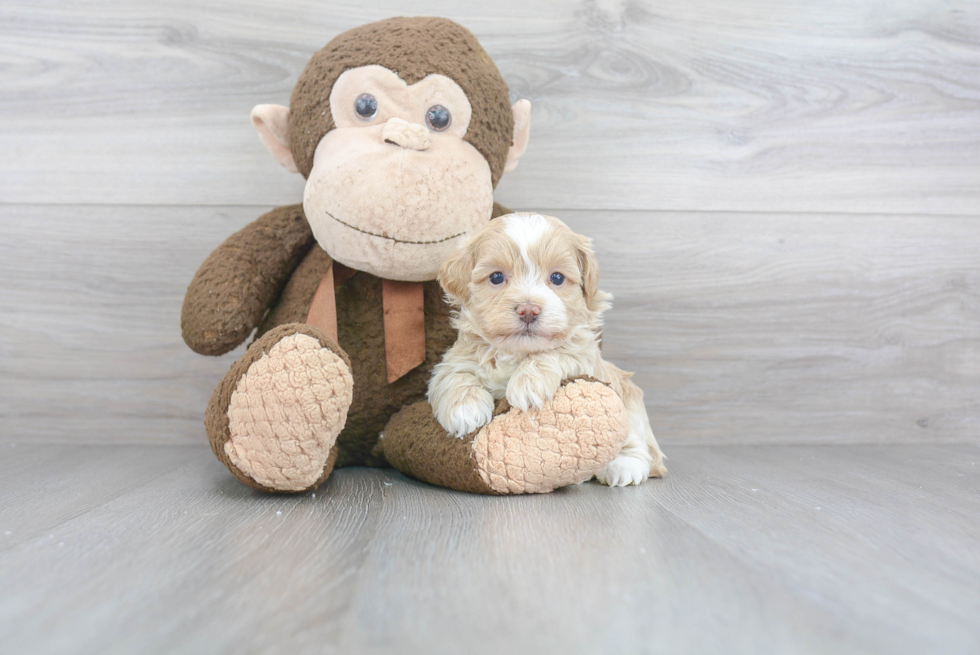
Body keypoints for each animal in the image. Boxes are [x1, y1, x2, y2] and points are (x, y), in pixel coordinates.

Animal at [428, 213, 668, 484]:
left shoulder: (584, 353)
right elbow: (454, 375)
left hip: (628, 401)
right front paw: (465, 409)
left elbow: (556, 351)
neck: (517, 352)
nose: (528, 310)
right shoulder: (456, 358)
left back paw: (624, 465)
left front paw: (527, 385)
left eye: (557, 278)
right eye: (496, 277)